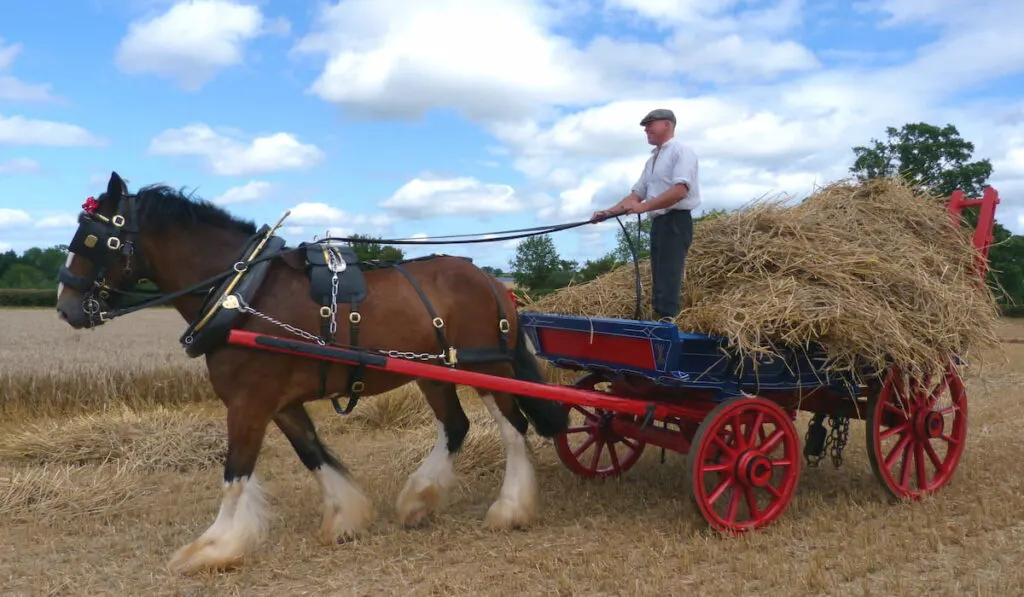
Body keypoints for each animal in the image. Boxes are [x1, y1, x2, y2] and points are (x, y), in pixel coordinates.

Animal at [56, 172, 569, 573]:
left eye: (94, 240)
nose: (65, 309)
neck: (241, 292)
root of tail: (492, 281)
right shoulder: (280, 404)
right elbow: (313, 455)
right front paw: (346, 518)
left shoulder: (248, 404)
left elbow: (235, 472)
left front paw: (213, 547)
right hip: (435, 373)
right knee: (456, 426)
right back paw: (419, 500)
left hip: (491, 367)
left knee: (513, 427)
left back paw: (510, 509)